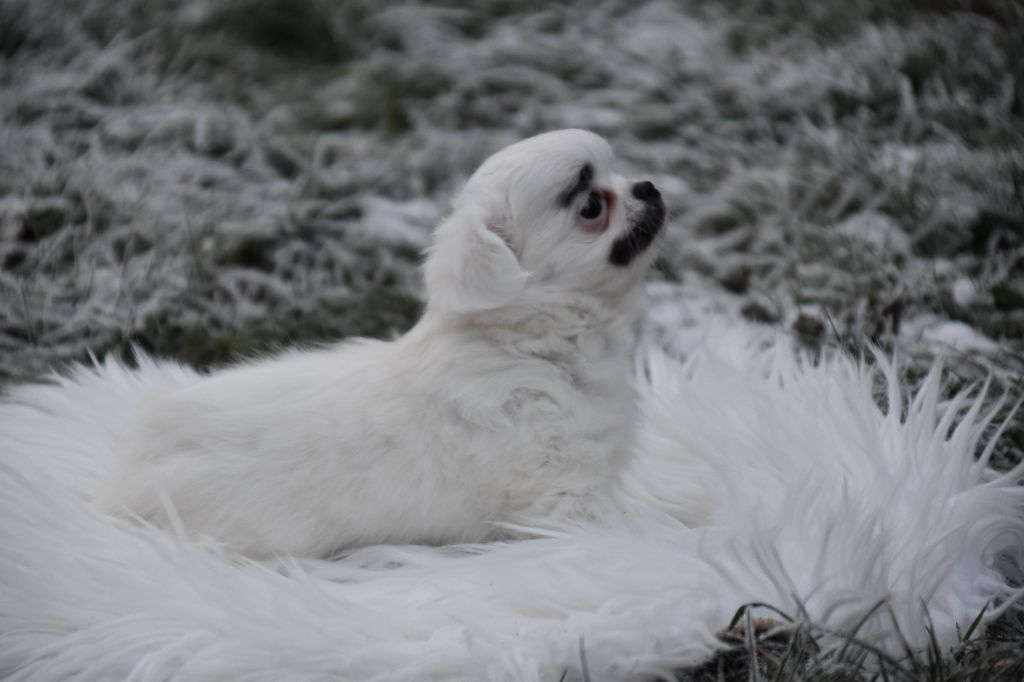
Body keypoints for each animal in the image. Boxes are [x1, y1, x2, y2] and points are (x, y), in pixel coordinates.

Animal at [96, 130, 667, 557]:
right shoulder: (561, 496)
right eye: (591, 205)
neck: (535, 346)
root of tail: (123, 486)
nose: (649, 187)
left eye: (618, 173)